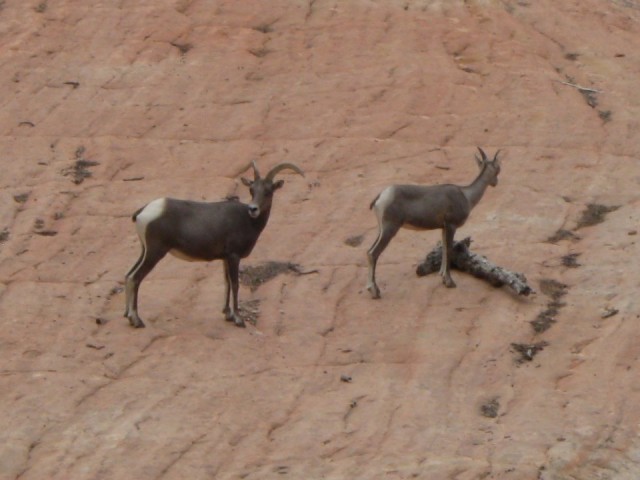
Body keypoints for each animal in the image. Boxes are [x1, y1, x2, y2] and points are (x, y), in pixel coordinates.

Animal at [124, 161, 304, 328]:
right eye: (252, 190)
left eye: (268, 192)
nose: (253, 209)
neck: (248, 221)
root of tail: (144, 211)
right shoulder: (234, 257)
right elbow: (235, 284)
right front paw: (238, 319)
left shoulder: (225, 258)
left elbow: (226, 283)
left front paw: (228, 315)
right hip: (155, 252)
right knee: (135, 278)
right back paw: (137, 321)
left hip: (145, 250)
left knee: (128, 275)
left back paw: (127, 316)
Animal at [366, 147, 501, 298]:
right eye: (498, 168)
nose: (495, 183)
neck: (466, 195)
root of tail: (381, 196)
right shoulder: (451, 226)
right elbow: (448, 250)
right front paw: (449, 282)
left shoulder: (443, 228)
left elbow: (444, 250)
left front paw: (442, 277)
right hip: (390, 229)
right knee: (373, 253)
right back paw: (376, 292)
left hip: (382, 230)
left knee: (369, 251)